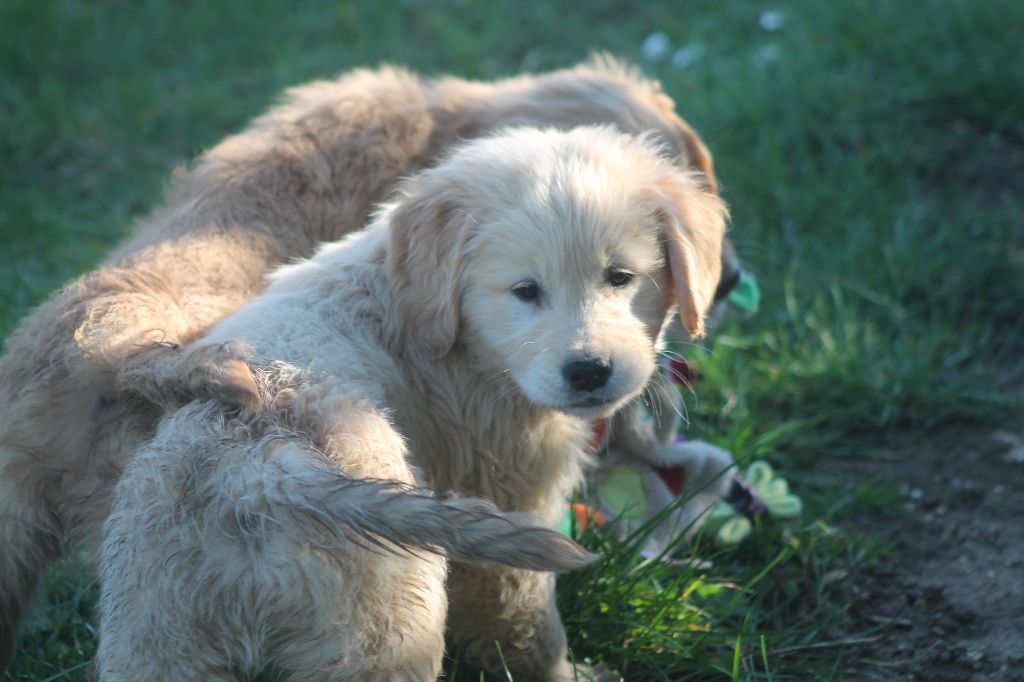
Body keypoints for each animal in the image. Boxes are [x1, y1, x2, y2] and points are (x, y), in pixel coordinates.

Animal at [0, 58, 720, 663]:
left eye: (622, 277)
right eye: (525, 291)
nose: (590, 373)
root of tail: (260, 470)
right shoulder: (511, 490)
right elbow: (524, 625)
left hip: (133, 616)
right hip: (388, 620)